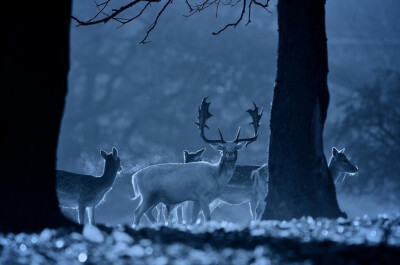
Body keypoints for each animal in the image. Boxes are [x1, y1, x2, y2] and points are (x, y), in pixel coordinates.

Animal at [131, 97, 262, 225]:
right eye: (223, 149)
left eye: (236, 149)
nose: (230, 154)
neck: (216, 178)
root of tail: (135, 177)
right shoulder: (202, 195)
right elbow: (207, 218)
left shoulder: (198, 199)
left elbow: (193, 219)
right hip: (149, 195)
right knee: (138, 211)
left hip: (155, 198)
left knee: (148, 212)